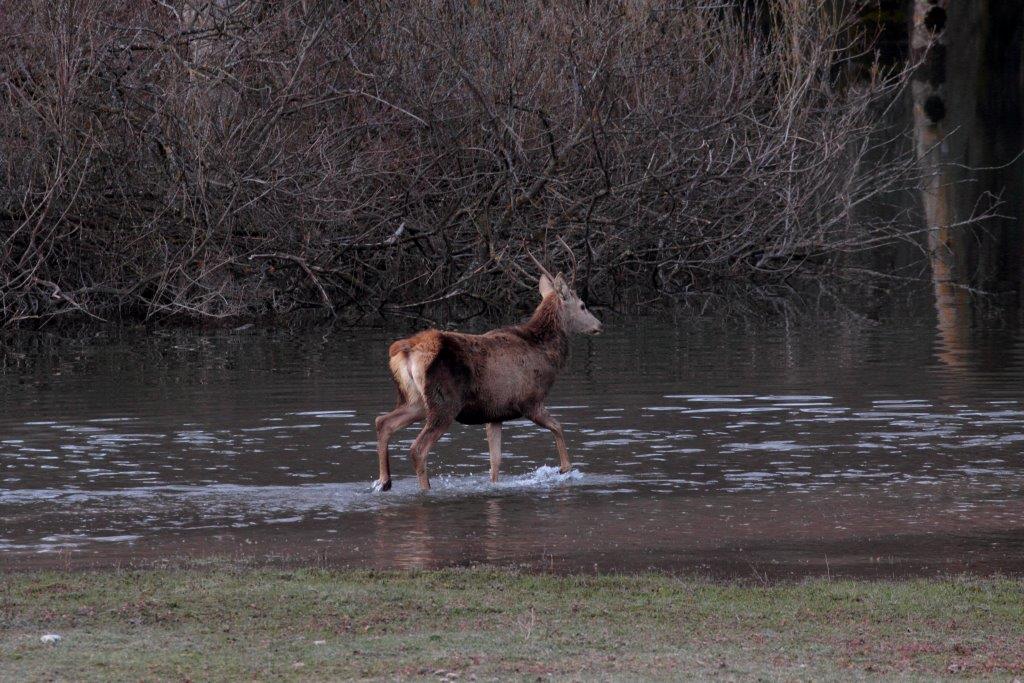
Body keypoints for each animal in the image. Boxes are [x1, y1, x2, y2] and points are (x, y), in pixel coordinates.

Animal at [374, 255, 598, 491]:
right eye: (583, 305)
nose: (599, 325)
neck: (545, 353)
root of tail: (407, 350)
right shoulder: (529, 400)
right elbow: (558, 426)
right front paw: (565, 469)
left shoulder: (495, 412)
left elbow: (495, 462)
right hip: (444, 402)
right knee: (418, 449)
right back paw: (424, 488)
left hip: (417, 401)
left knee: (383, 421)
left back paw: (384, 481)